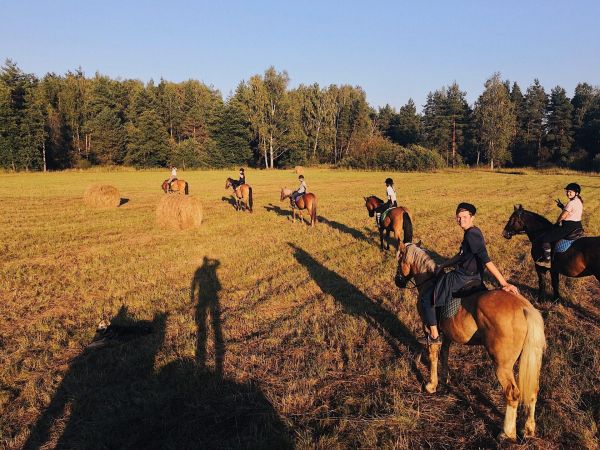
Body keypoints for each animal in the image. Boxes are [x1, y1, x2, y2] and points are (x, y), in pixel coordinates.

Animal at [396, 241, 548, 442]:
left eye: (399, 259)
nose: (397, 280)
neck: (428, 282)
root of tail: (524, 307)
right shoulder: (448, 334)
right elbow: (444, 353)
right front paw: (445, 379)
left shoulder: (429, 328)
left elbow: (434, 354)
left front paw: (431, 385)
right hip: (531, 359)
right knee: (532, 391)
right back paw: (529, 428)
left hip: (502, 365)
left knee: (512, 394)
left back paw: (506, 432)